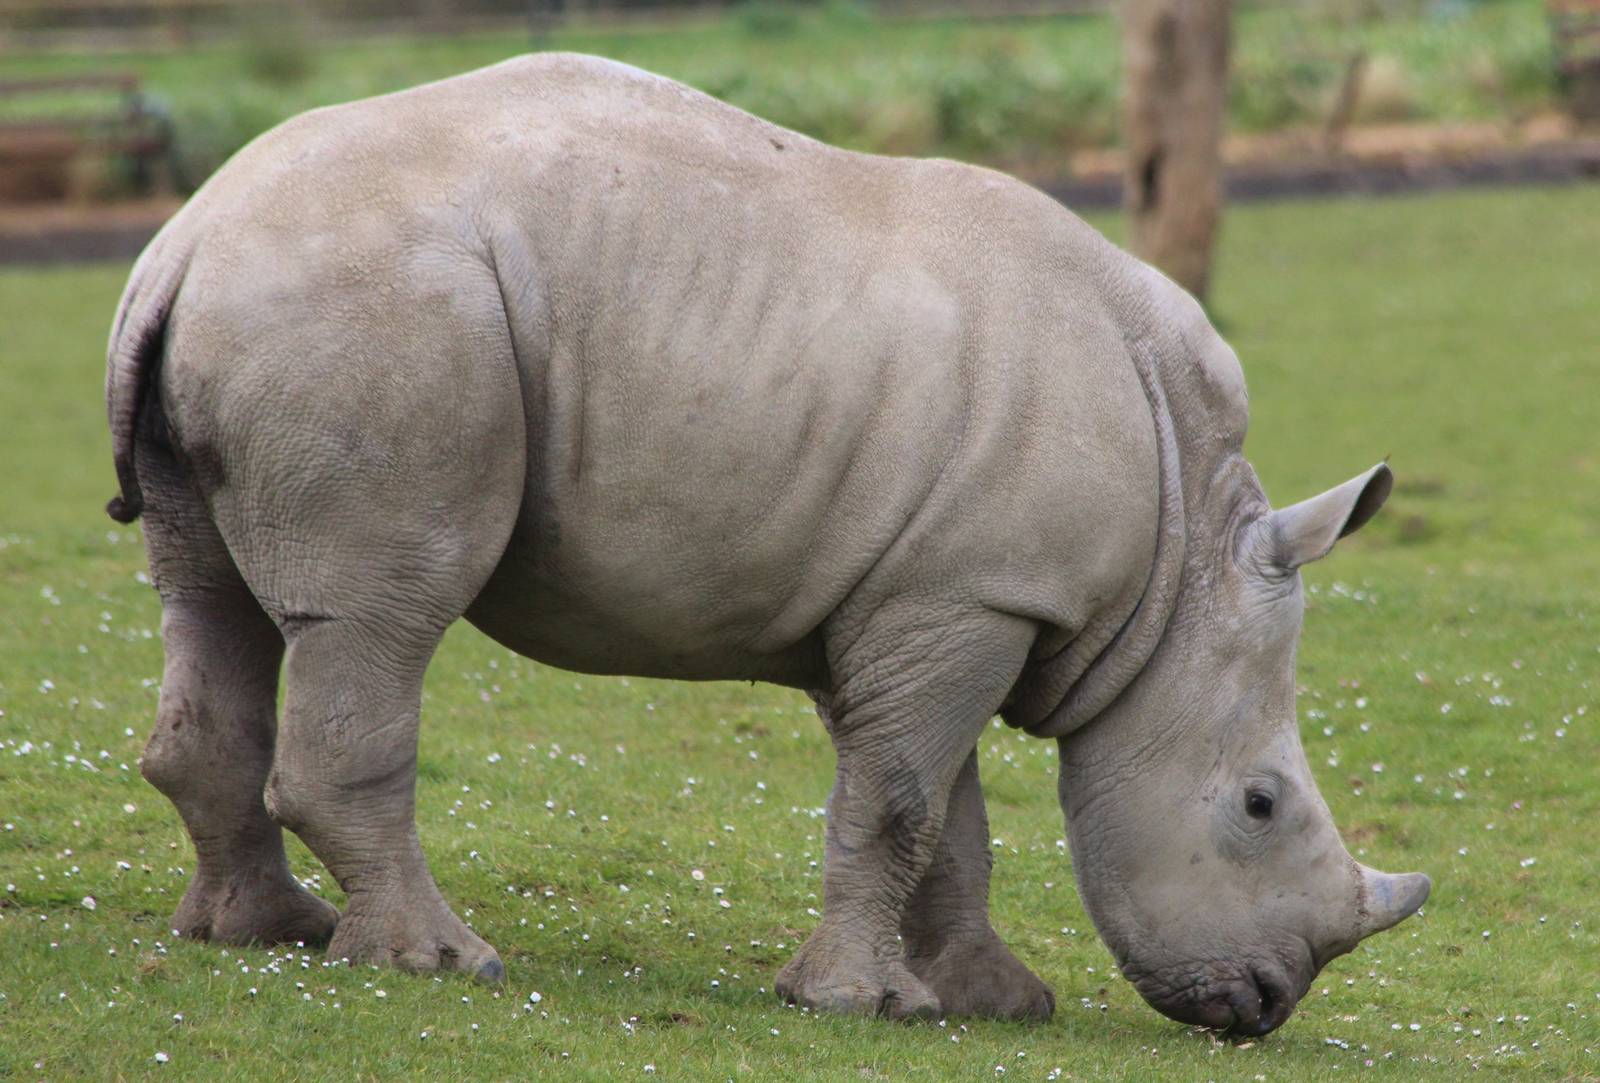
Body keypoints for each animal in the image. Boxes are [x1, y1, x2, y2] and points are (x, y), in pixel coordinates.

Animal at [105, 53, 1428, 1033]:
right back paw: (438, 963)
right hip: (373, 312)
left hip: (277, 308)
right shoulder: (973, 595)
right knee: (382, 618)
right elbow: (900, 805)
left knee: (210, 599)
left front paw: (987, 1004)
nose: (1265, 1005)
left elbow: (943, 818)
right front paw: (855, 1006)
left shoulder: (926, 599)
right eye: (1258, 805)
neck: (1178, 570)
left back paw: (262, 934)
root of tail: (186, 239)